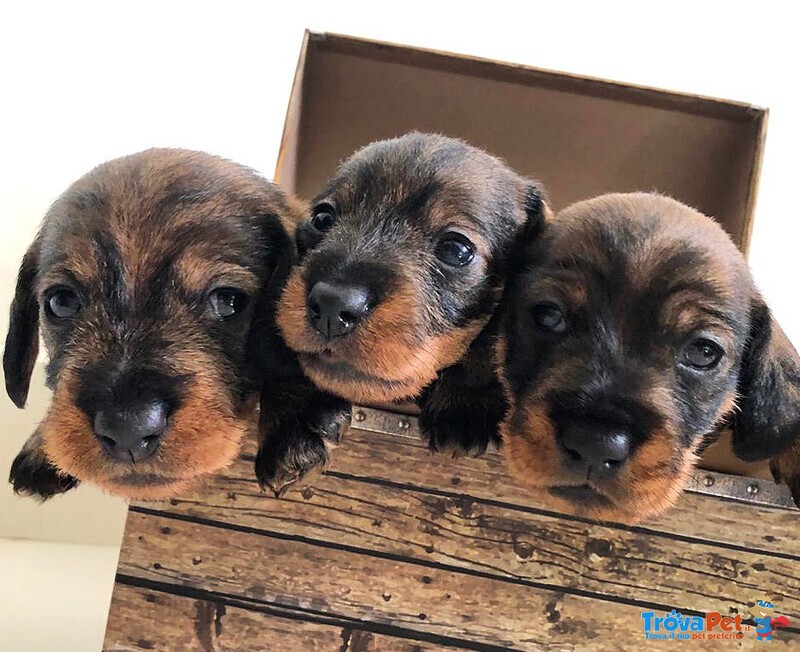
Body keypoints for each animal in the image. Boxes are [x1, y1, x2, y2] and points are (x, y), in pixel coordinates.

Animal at [256, 132, 552, 492]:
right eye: (322, 219)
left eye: (457, 249)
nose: (332, 304)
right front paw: (292, 423)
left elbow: (487, 343)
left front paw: (465, 402)